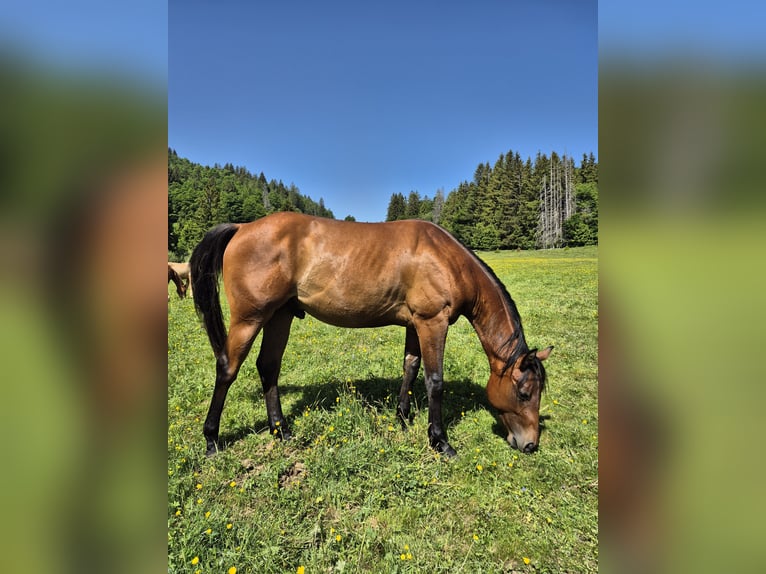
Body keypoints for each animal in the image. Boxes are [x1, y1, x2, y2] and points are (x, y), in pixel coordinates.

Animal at [190, 212, 552, 457]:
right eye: (524, 393)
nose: (530, 444)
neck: (446, 259)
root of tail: (242, 227)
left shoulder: (415, 324)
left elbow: (410, 367)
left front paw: (403, 417)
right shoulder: (432, 322)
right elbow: (435, 381)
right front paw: (439, 440)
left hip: (279, 316)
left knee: (268, 367)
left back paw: (280, 431)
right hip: (250, 319)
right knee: (228, 368)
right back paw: (211, 439)